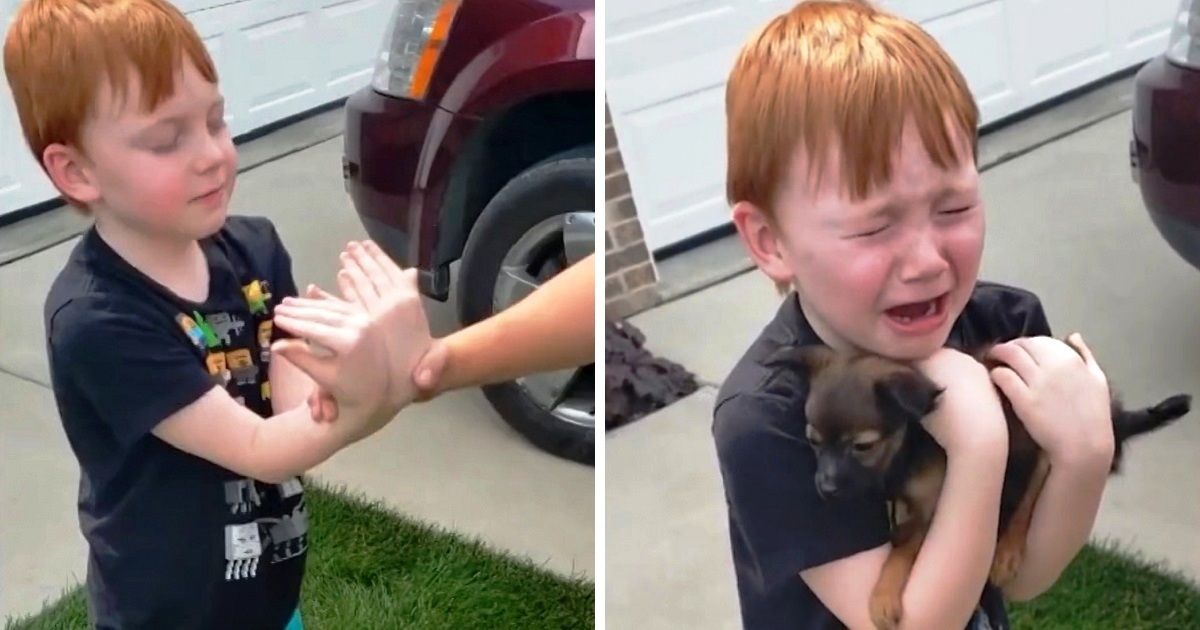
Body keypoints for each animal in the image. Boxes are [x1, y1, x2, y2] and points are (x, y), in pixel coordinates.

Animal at [768, 338, 1190, 628]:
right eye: (813, 441)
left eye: (862, 446)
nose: (825, 488)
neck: (910, 444)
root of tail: (1111, 410)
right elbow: (898, 525)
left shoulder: (933, 506)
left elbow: (902, 547)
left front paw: (883, 597)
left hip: (1047, 450)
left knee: (1027, 503)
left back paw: (1006, 554)